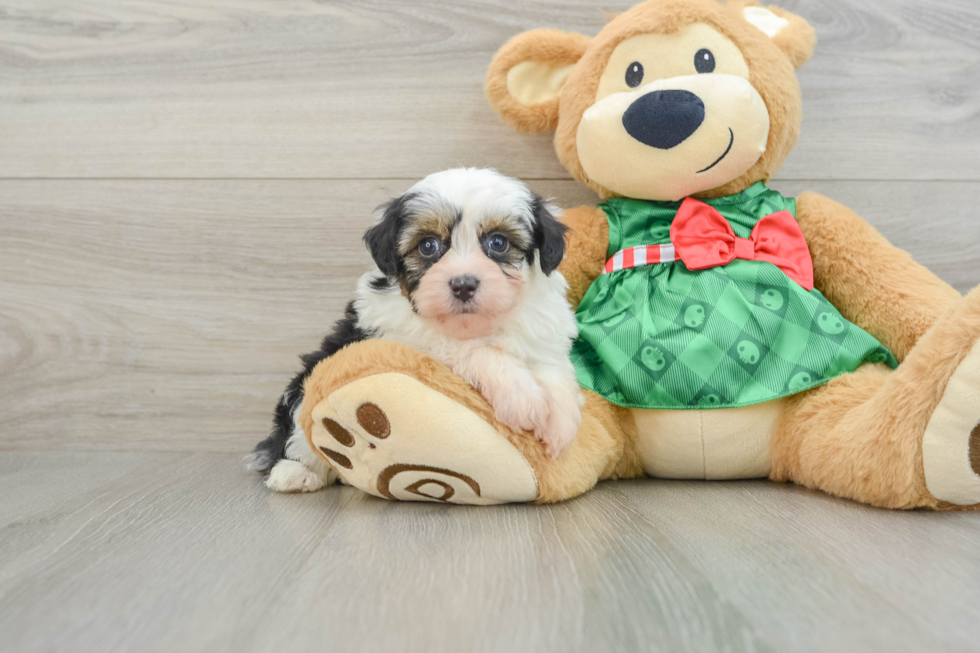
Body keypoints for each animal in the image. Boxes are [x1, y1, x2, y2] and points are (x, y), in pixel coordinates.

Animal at [249, 166, 580, 492]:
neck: (477, 323)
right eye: (428, 245)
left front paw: (560, 425)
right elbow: (470, 349)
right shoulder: (403, 335)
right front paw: (522, 398)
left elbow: (554, 369)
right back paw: (296, 472)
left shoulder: (542, 330)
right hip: (306, 386)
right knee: (301, 435)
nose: (463, 285)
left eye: (498, 243)